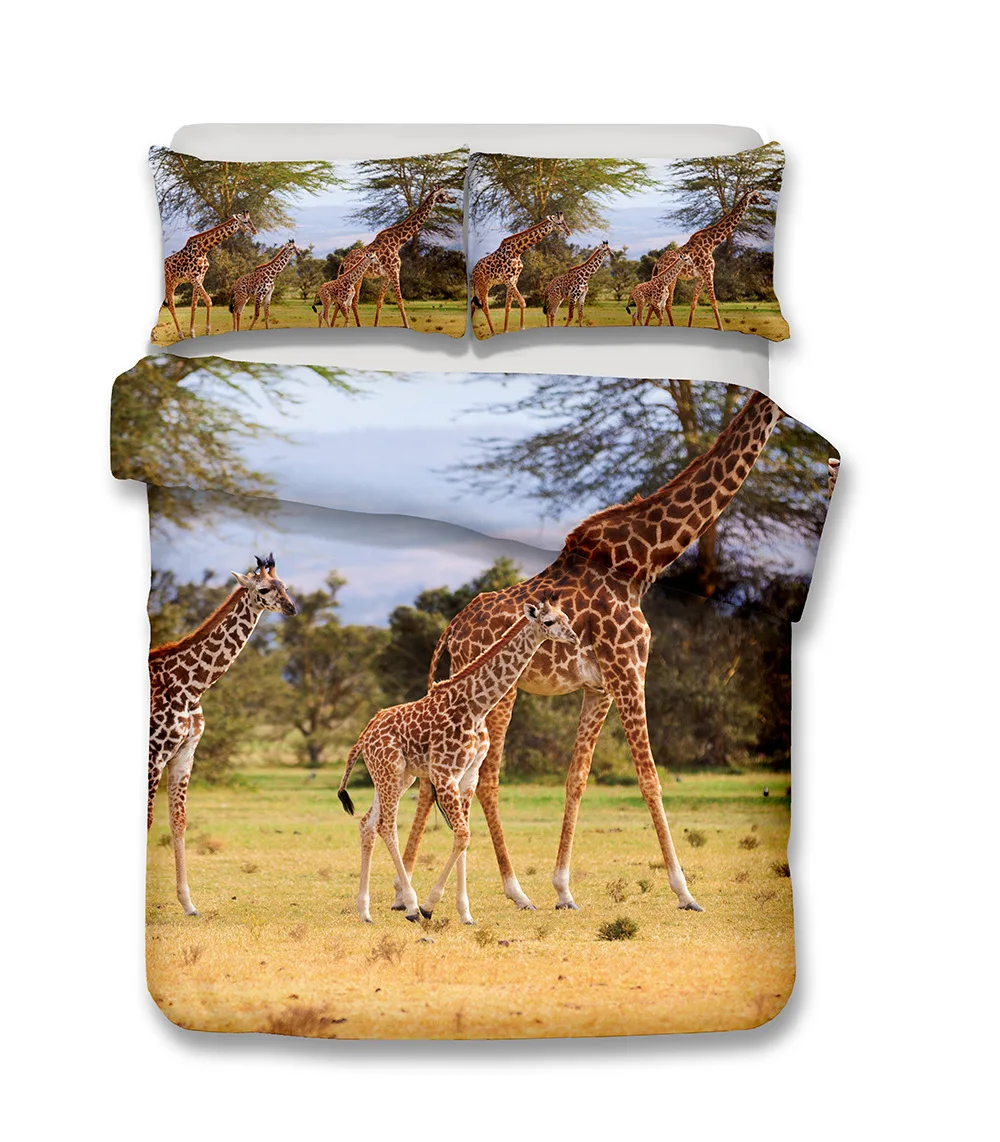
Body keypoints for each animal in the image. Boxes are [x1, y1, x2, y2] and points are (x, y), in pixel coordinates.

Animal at [147, 555, 295, 915]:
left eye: (286, 586)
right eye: (263, 589)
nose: (291, 608)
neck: (190, 686)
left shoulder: (184, 755)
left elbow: (178, 821)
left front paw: (188, 904)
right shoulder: (154, 754)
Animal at [337, 185, 457, 329]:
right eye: (444, 194)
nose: (454, 199)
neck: (398, 242)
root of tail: (344, 260)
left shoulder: (386, 275)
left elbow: (380, 301)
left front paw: (376, 325)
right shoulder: (395, 271)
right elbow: (400, 300)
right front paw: (407, 325)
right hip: (357, 277)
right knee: (353, 302)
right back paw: (357, 325)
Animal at [339, 601, 577, 925]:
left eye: (567, 617)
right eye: (549, 622)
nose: (574, 638)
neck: (476, 706)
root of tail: (363, 736)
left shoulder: (468, 775)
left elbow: (463, 836)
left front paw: (465, 913)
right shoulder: (444, 773)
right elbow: (462, 834)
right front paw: (428, 906)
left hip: (398, 777)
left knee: (367, 824)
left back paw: (364, 911)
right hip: (389, 772)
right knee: (387, 826)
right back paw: (410, 905)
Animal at [396, 391, 785, 914]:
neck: (640, 563)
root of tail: (453, 629)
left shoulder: (599, 686)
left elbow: (577, 778)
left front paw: (564, 889)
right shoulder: (629, 667)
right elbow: (650, 777)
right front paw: (685, 891)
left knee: (445, 780)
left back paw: (409, 889)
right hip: (498, 693)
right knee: (485, 779)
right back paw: (508, 890)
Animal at [651, 189, 771, 330]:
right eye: (757, 195)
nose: (767, 201)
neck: (712, 243)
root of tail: (658, 262)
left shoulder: (700, 277)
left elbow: (694, 303)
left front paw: (690, 326)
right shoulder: (709, 272)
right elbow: (714, 301)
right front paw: (721, 328)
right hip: (671, 278)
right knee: (667, 303)